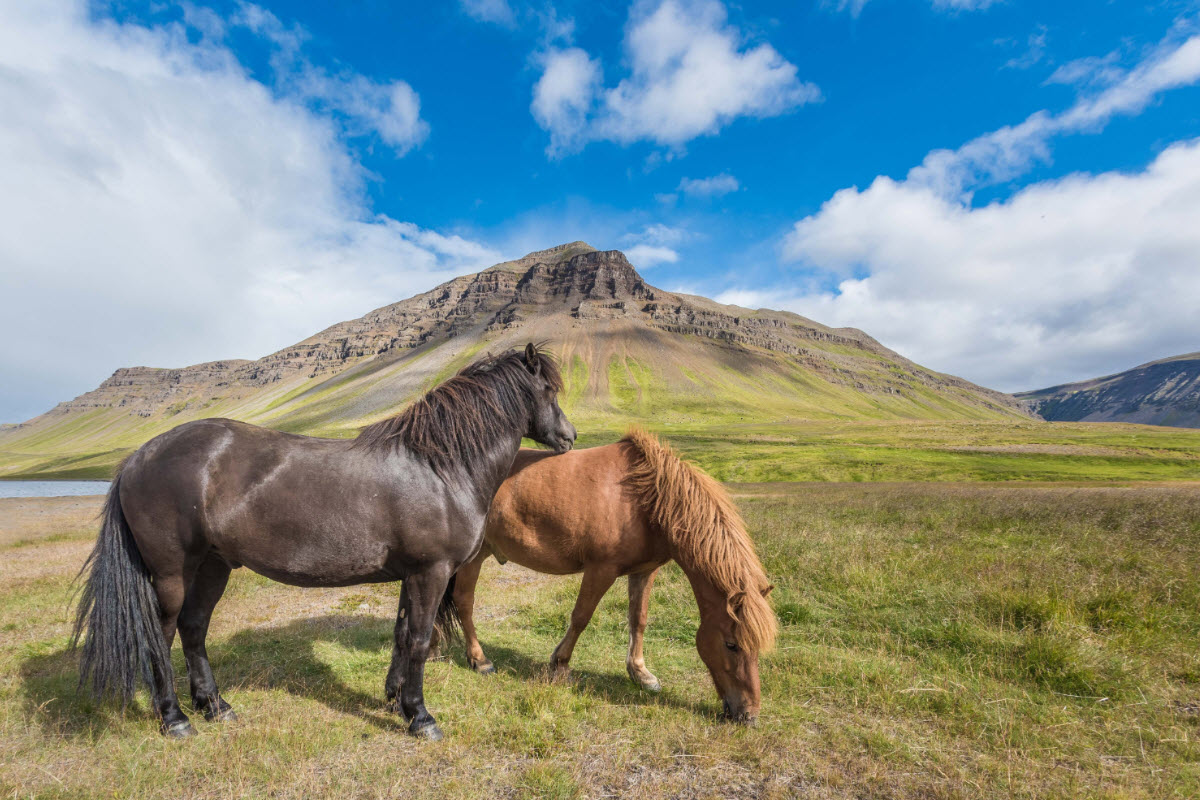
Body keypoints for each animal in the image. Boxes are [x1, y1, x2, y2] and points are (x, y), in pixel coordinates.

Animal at [72, 340, 578, 743]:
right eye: (549, 391)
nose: (570, 438)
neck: (437, 467)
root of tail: (138, 456)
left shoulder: (410, 575)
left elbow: (400, 635)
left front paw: (394, 699)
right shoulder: (430, 572)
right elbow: (418, 640)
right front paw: (421, 717)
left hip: (214, 565)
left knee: (194, 628)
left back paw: (216, 706)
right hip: (172, 572)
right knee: (161, 636)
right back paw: (176, 719)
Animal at [422, 429, 777, 724]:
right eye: (731, 644)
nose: (748, 715)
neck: (645, 498)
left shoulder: (645, 571)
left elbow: (638, 619)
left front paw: (641, 673)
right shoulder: (601, 569)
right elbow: (581, 617)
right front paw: (560, 665)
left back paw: (433, 648)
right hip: (473, 557)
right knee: (464, 602)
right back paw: (479, 659)